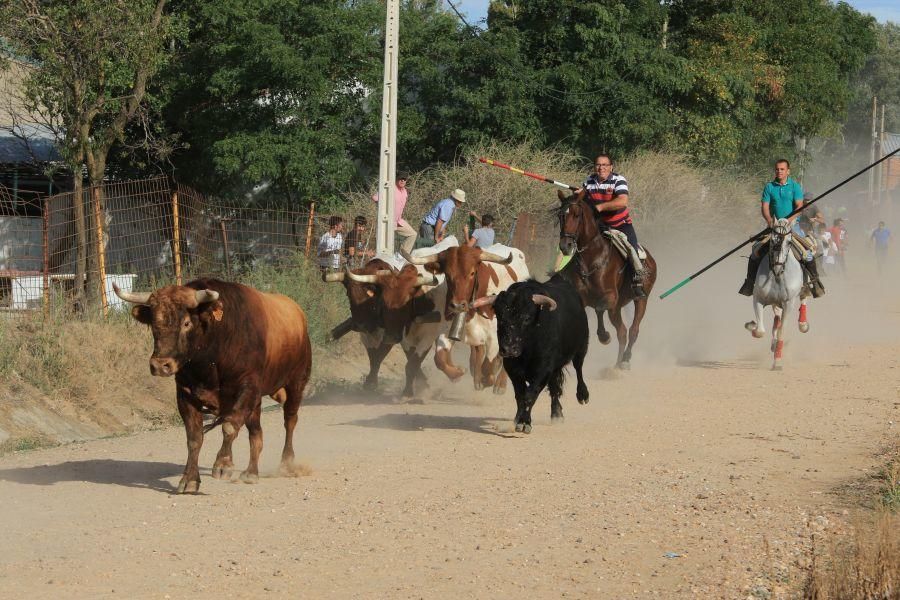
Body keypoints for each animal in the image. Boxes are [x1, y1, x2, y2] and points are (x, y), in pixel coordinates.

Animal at [112, 278, 312, 494]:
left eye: (186, 322)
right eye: (154, 324)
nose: (160, 365)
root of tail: (298, 313)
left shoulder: (247, 388)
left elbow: (229, 426)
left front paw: (223, 464)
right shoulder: (185, 395)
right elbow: (194, 438)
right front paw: (189, 479)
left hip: (296, 383)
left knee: (290, 420)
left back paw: (286, 463)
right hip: (257, 402)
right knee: (256, 433)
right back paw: (251, 473)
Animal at [552, 192, 656, 370]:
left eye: (577, 214)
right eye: (560, 215)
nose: (566, 246)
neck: (592, 258)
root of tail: (650, 258)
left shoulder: (609, 296)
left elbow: (599, 309)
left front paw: (604, 336)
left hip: (641, 299)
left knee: (633, 330)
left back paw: (625, 360)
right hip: (617, 308)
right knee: (622, 332)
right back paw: (616, 364)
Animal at [744, 220, 808, 370]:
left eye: (789, 243)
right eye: (772, 241)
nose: (778, 267)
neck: (778, 276)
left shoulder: (788, 303)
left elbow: (781, 332)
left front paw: (777, 362)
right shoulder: (758, 299)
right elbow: (760, 330)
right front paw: (751, 325)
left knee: (804, 296)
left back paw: (803, 324)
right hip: (775, 302)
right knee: (776, 317)